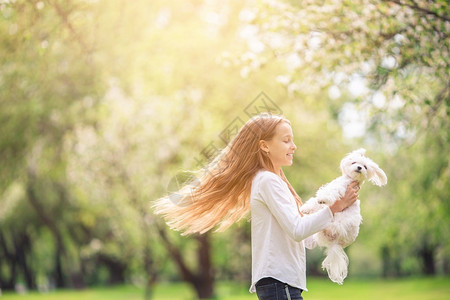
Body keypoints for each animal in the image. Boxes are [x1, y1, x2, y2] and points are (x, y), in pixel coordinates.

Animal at [298, 149, 386, 284]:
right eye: (354, 162)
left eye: (365, 167)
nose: (359, 167)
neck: (350, 180)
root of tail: (335, 242)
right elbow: (315, 202)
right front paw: (306, 208)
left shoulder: (340, 188)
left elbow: (329, 193)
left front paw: (323, 199)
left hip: (339, 222)